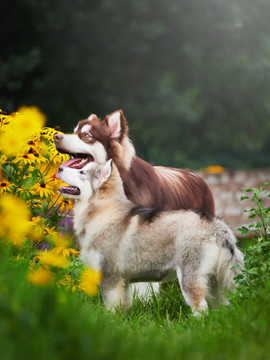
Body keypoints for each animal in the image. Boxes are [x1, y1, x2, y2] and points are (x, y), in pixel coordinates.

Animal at [57, 160, 245, 316]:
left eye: (81, 172)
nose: (59, 168)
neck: (105, 211)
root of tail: (215, 225)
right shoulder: (124, 282)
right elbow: (124, 308)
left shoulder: (109, 277)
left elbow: (111, 309)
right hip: (215, 283)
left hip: (190, 279)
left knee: (201, 308)